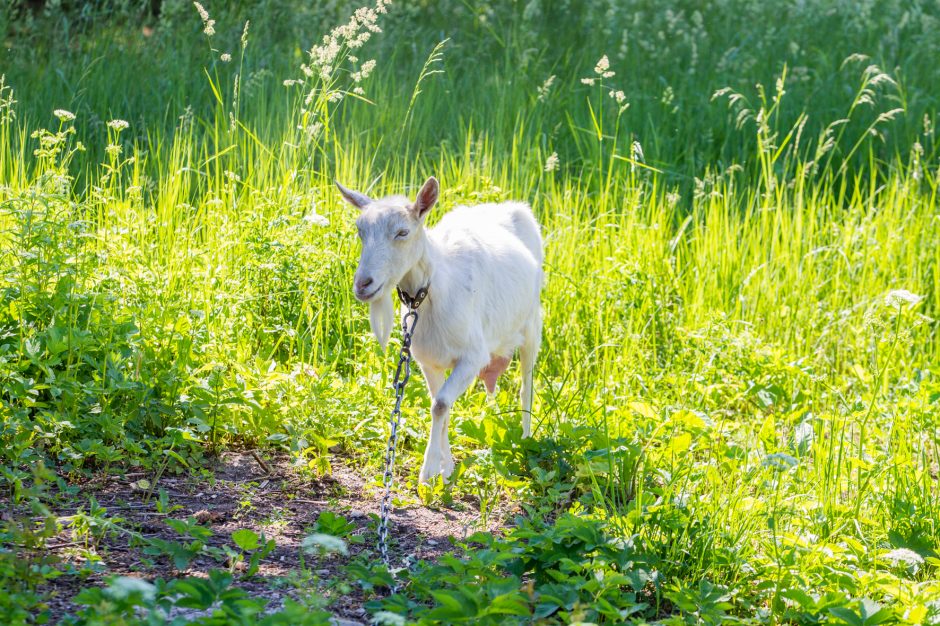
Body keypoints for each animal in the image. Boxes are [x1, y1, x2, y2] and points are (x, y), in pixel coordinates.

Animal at [338, 178, 544, 480]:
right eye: (360, 231)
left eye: (402, 232)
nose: (363, 284)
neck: (434, 291)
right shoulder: (428, 360)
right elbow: (438, 403)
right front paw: (445, 469)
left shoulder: (473, 356)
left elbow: (441, 403)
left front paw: (428, 470)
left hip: (532, 324)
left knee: (526, 386)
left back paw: (527, 441)